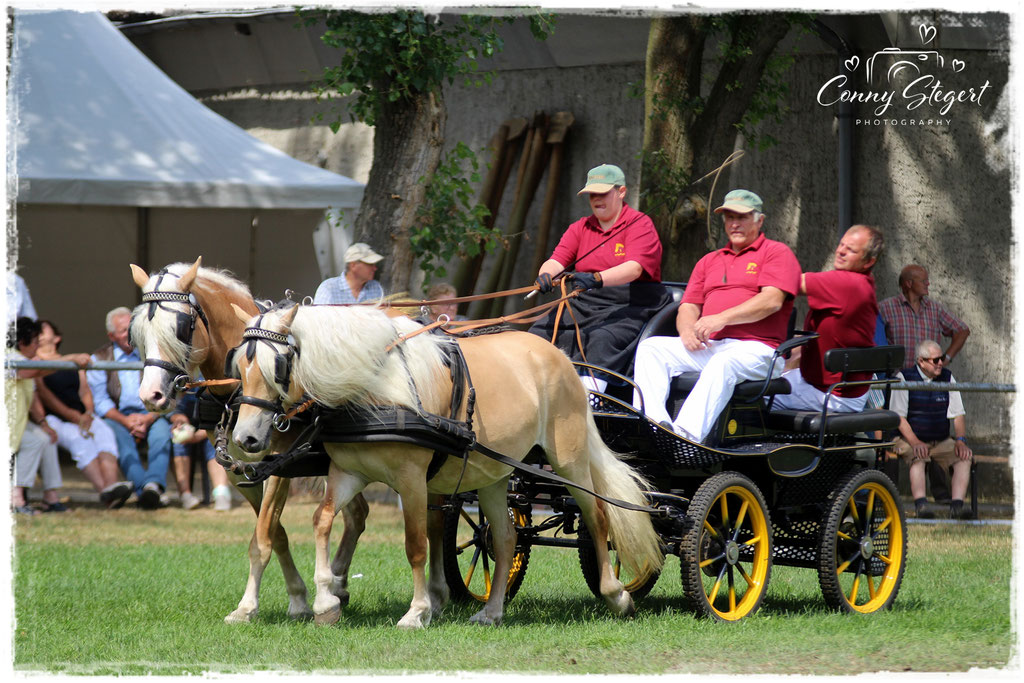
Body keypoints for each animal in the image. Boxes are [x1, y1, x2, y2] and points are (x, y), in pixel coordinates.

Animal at [128, 259, 368, 622]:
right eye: (138, 332)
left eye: (181, 328)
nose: (151, 395)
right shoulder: (238, 470)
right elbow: (275, 533)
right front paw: (298, 599)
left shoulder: (281, 466)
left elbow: (262, 537)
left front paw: (247, 606)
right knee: (356, 513)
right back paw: (338, 585)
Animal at [229, 301, 663, 626]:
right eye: (239, 367)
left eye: (277, 367)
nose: (245, 440)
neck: (375, 389)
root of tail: (559, 356)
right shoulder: (348, 472)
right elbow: (322, 520)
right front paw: (325, 601)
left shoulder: (412, 480)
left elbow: (416, 545)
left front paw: (417, 612)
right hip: (494, 475)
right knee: (505, 538)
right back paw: (491, 611)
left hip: (569, 459)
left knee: (598, 517)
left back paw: (616, 595)